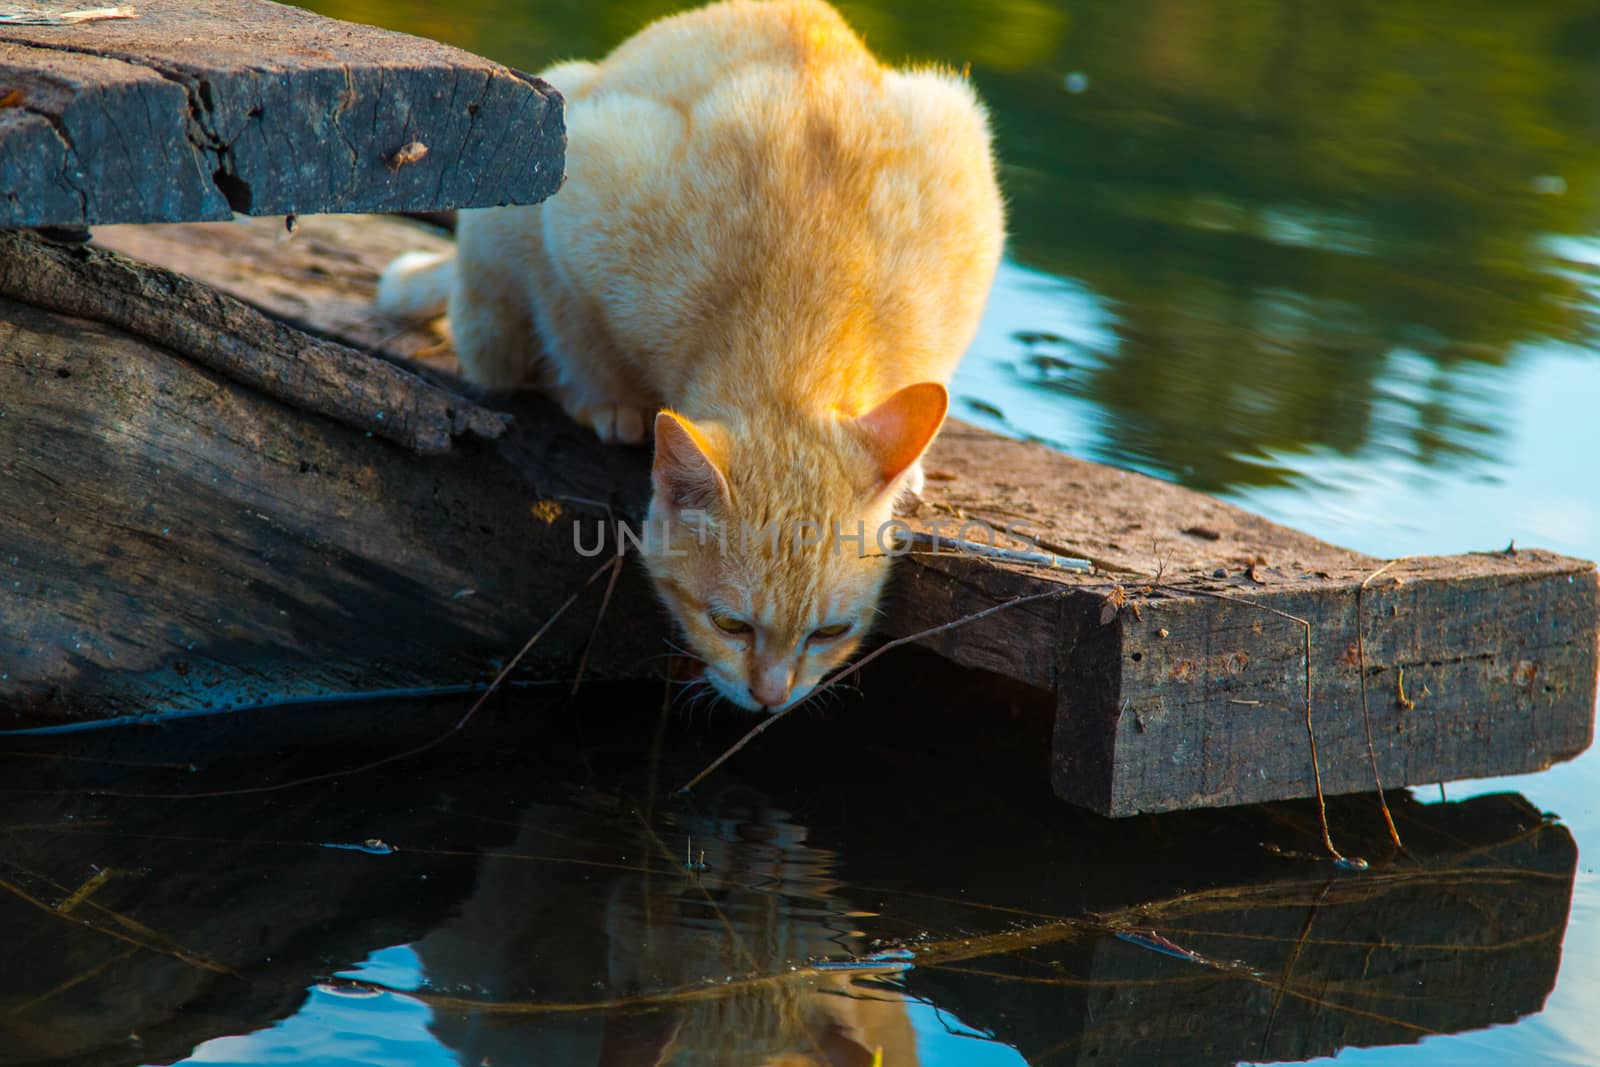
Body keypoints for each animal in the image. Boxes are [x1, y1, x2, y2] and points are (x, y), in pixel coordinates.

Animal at [377, 2, 998, 716]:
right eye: (729, 624)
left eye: (829, 633)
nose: (771, 698)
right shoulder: (573, 186)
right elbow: (575, 329)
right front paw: (606, 399)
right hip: (503, 251)